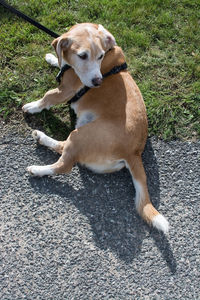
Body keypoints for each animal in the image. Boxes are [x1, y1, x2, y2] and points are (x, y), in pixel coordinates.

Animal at [22, 23, 169, 234]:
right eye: (82, 56)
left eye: (100, 56)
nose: (98, 82)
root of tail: (134, 152)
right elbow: (58, 61)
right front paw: (52, 57)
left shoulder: (65, 90)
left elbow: (47, 96)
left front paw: (33, 106)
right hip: (81, 131)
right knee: (63, 147)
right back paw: (41, 137)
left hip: (81, 135)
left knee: (64, 166)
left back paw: (37, 169)